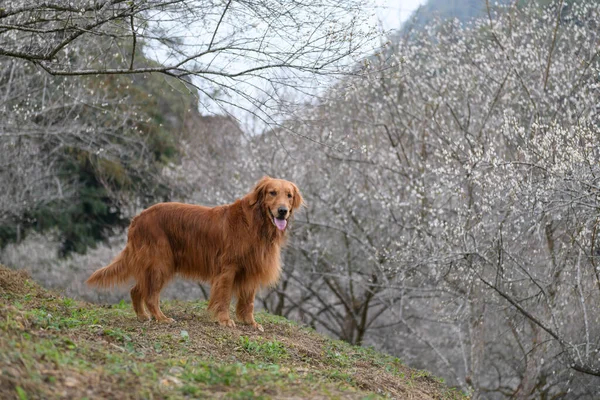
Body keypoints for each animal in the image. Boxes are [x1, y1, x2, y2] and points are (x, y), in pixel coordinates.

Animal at [86, 176, 302, 332]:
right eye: (272, 193)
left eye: (289, 195)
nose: (282, 211)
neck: (257, 224)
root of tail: (137, 218)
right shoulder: (228, 268)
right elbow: (224, 297)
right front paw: (225, 320)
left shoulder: (252, 270)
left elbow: (248, 301)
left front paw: (250, 322)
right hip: (161, 263)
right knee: (150, 295)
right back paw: (161, 318)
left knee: (136, 290)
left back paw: (142, 316)